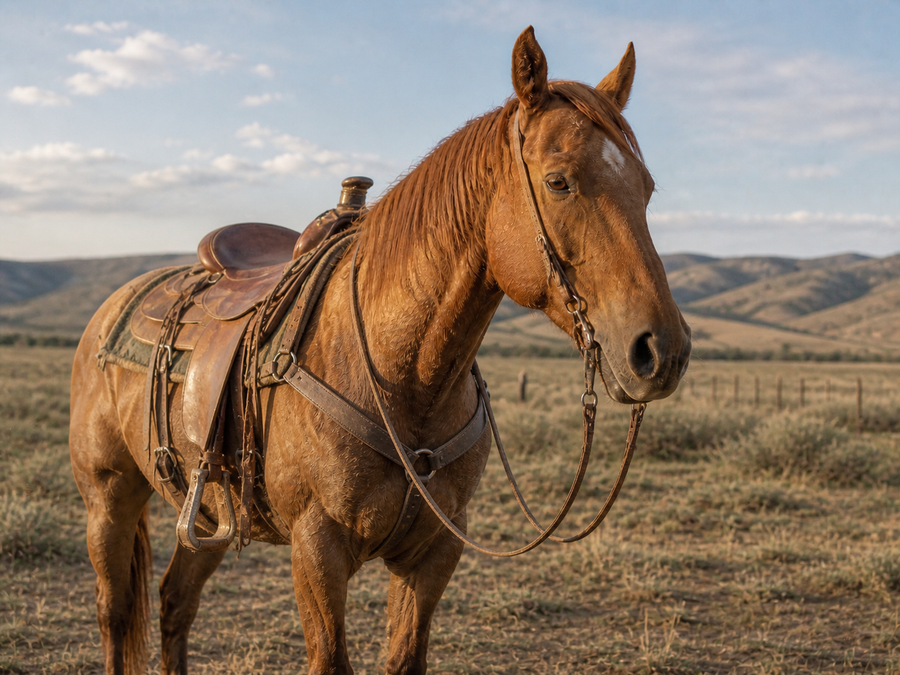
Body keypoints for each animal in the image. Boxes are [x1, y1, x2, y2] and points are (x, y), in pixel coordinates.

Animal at [69, 26, 691, 674]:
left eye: (647, 189)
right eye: (558, 181)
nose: (660, 351)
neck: (407, 377)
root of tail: (113, 306)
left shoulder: (435, 553)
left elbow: (404, 657)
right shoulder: (317, 551)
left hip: (210, 509)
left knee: (174, 603)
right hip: (108, 496)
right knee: (116, 612)